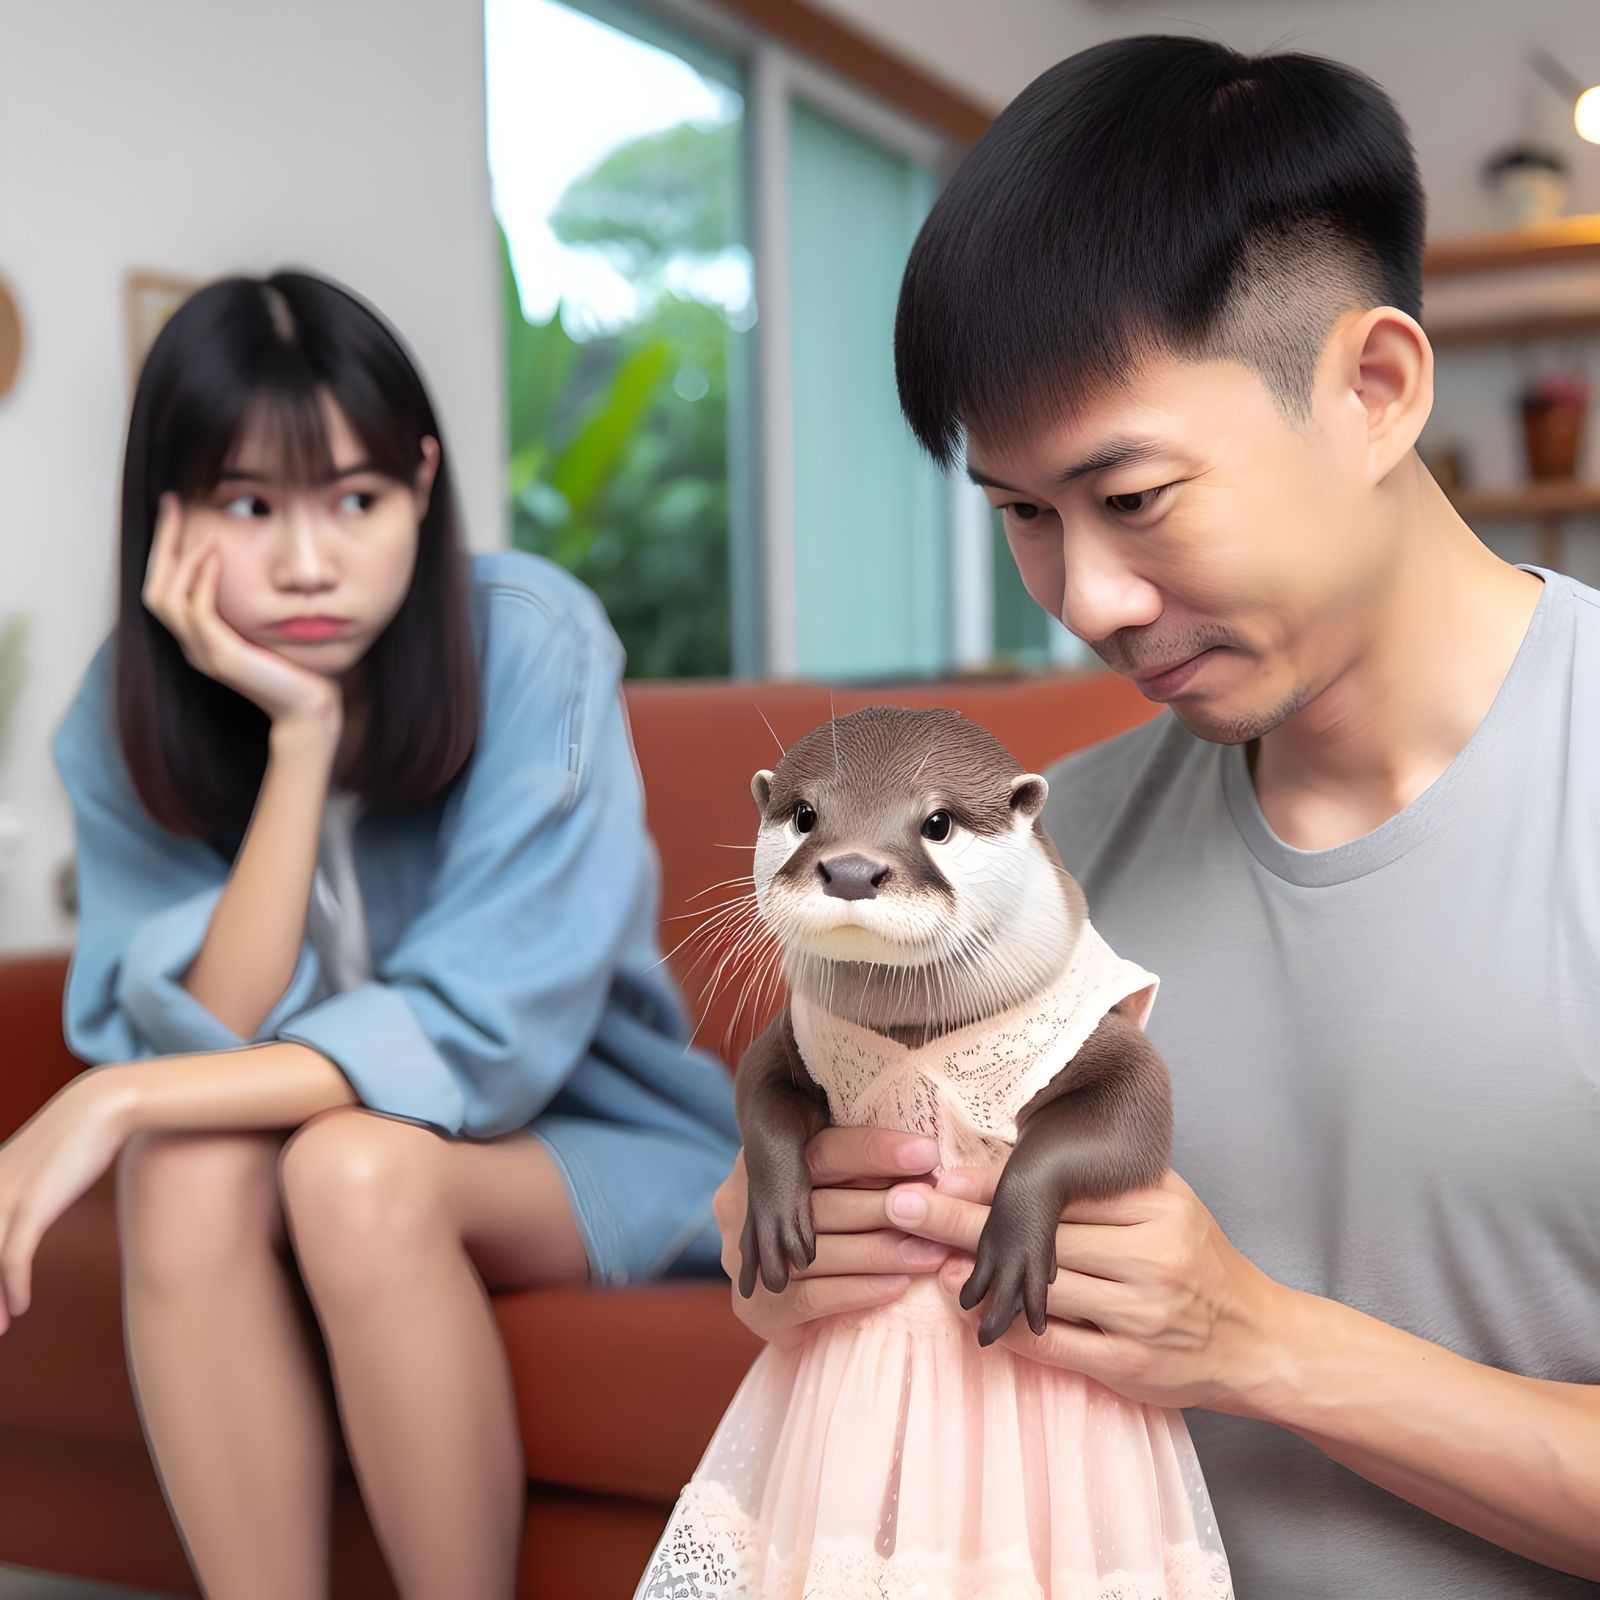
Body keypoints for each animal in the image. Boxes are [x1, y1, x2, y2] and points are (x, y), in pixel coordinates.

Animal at [731, 704, 1174, 1348]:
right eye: (805, 816)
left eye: (937, 823)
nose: (851, 869)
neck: (917, 1026)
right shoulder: (795, 1035)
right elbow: (757, 1095)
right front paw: (772, 1213)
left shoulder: (1091, 1030)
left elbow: (1137, 1109)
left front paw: (1014, 1243)